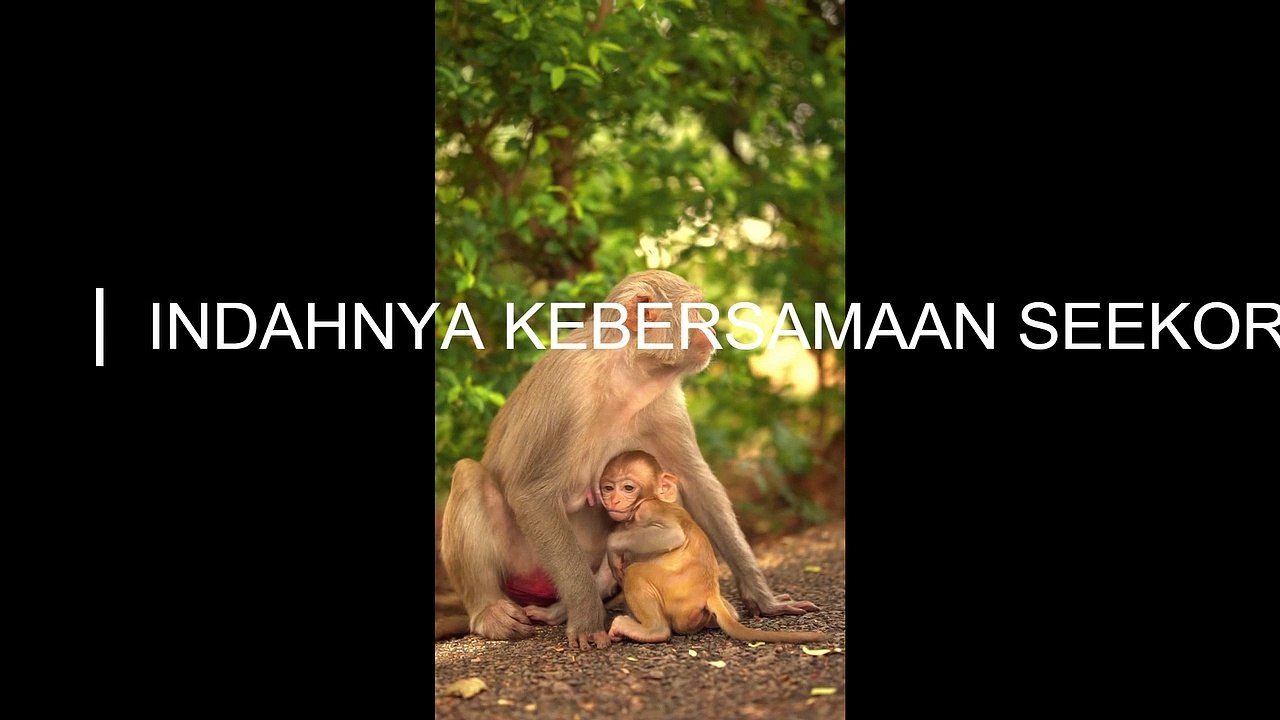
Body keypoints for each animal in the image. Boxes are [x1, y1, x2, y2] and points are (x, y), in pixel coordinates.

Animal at [601, 450, 828, 644]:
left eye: (628, 488)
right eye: (608, 488)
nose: (614, 500)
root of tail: (710, 593)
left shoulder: (648, 509)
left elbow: (672, 535)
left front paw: (612, 545)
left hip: (676, 592)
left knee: (635, 573)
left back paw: (650, 630)